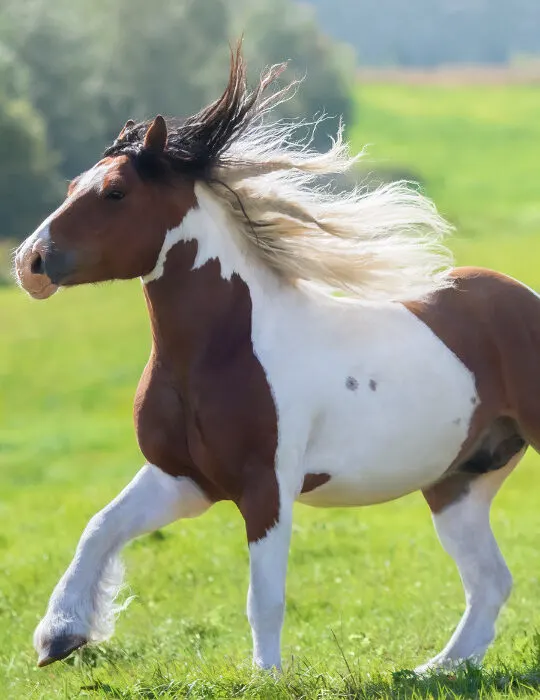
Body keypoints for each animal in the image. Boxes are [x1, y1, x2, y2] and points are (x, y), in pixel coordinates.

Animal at [14, 45, 540, 673]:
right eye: (73, 184)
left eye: (115, 192)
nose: (30, 262)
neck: (221, 352)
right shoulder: (182, 479)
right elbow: (99, 527)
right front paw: (59, 636)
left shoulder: (266, 487)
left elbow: (263, 594)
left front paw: (265, 675)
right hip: (458, 482)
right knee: (490, 581)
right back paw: (436, 668)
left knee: (490, 581)